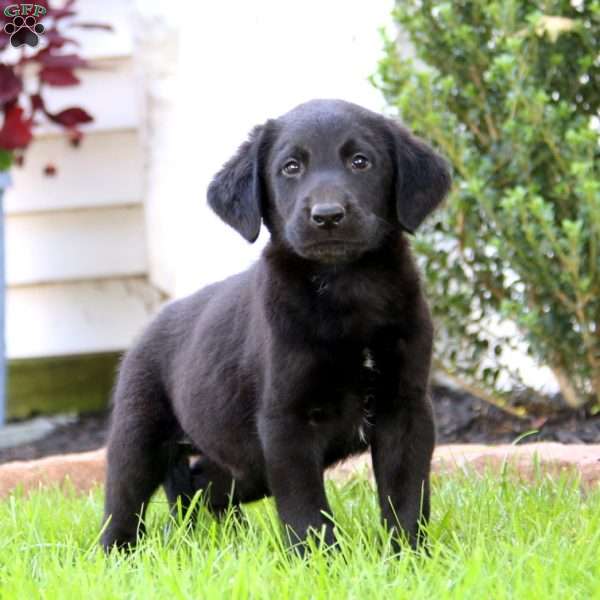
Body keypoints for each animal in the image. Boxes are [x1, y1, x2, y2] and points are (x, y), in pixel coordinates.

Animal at [102, 99, 450, 552]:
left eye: (361, 162)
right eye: (290, 167)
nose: (327, 216)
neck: (345, 286)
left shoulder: (405, 408)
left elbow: (406, 494)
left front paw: (409, 555)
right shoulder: (286, 421)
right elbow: (306, 508)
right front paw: (321, 561)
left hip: (244, 464)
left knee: (201, 485)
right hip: (140, 435)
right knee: (123, 503)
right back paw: (117, 553)